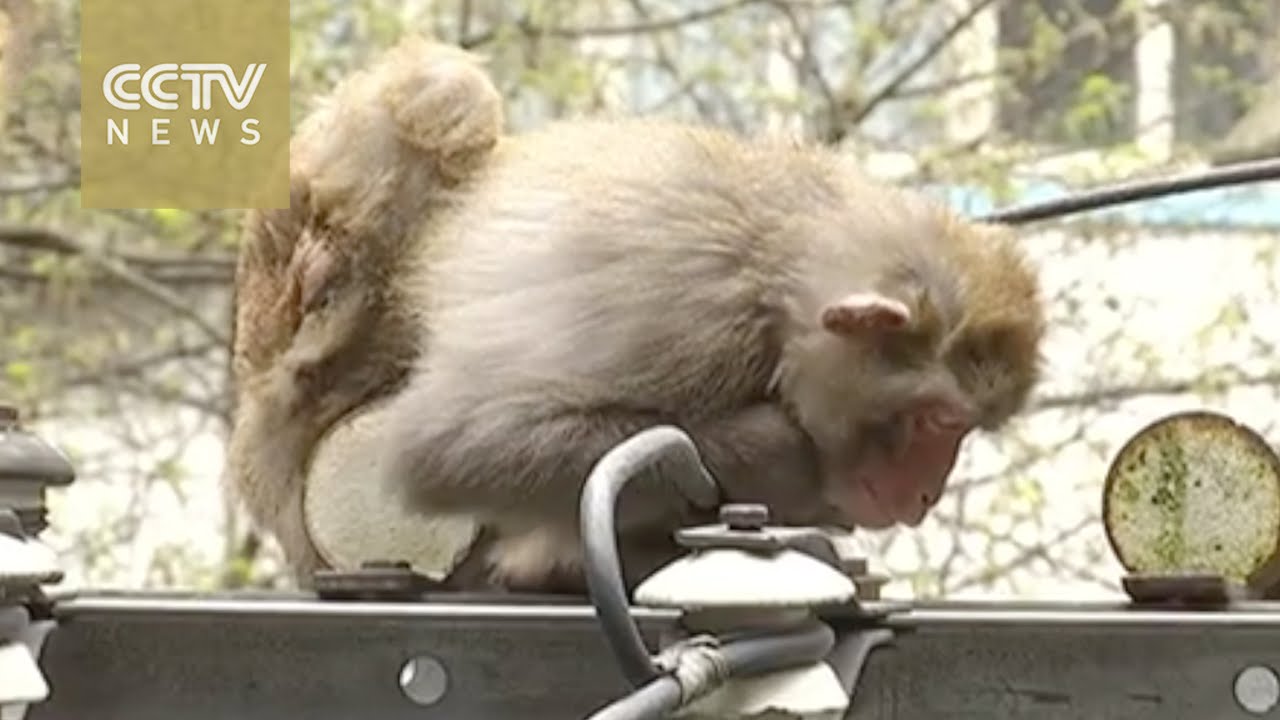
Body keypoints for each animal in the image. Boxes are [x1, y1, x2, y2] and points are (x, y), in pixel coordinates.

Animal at [373, 117, 1046, 593]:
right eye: (940, 422)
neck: (775, 285)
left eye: (962, 430)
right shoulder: (682, 315)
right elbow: (452, 444)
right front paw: (783, 460)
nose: (930, 492)